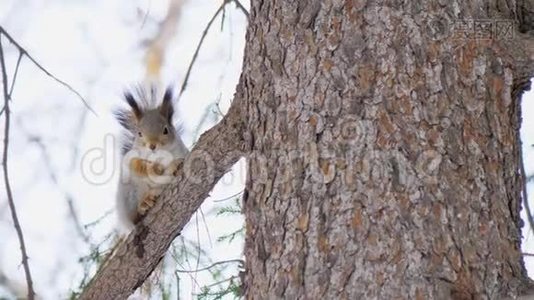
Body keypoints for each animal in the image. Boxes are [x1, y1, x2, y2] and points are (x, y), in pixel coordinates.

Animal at [114, 85, 189, 231]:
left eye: (165, 130)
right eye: (139, 133)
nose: (152, 145)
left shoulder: (182, 151)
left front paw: (174, 165)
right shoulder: (130, 157)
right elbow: (136, 165)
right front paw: (154, 168)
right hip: (130, 192)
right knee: (135, 216)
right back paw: (145, 203)